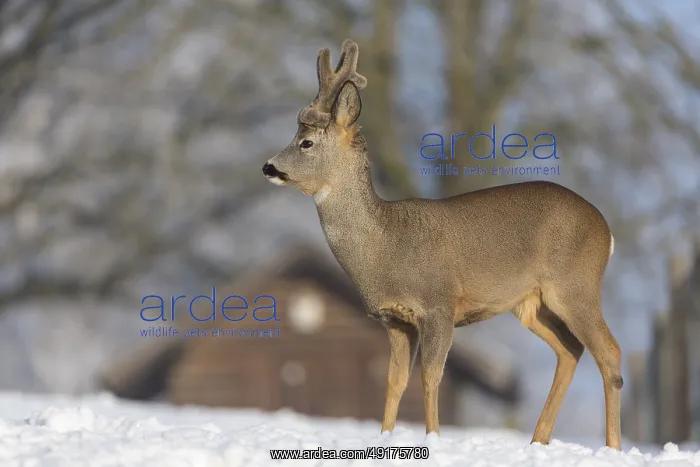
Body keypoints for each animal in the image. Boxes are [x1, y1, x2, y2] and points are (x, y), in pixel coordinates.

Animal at [262, 39, 623, 450]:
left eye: (305, 142)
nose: (268, 167)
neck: (386, 243)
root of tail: (606, 230)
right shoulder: (394, 319)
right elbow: (395, 381)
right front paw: (385, 437)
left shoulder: (438, 305)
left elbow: (430, 376)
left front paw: (433, 437)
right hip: (532, 304)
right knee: (570, 350)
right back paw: (537, 442)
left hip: (575, 285)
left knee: (609, 351)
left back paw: (612, 447)